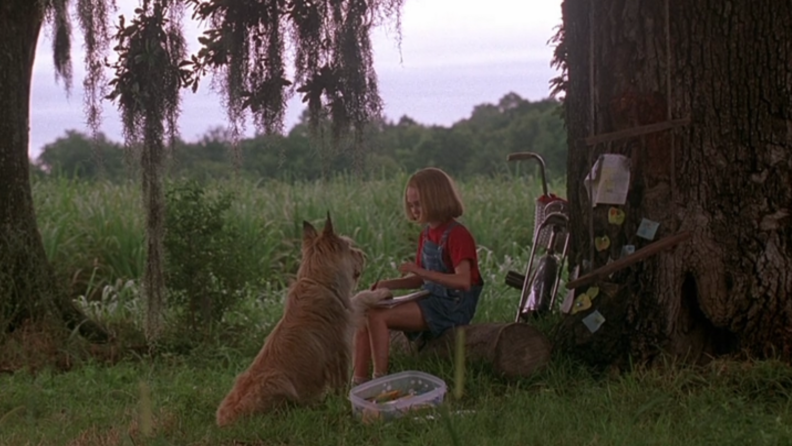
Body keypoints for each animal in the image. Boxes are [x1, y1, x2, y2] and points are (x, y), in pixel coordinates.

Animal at [215, 214, 392, 426]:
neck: (318, 281)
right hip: (278, 382)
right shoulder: (341, 345)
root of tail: (226, 419)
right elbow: (342, 383)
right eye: (349, 247)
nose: (363, 254)